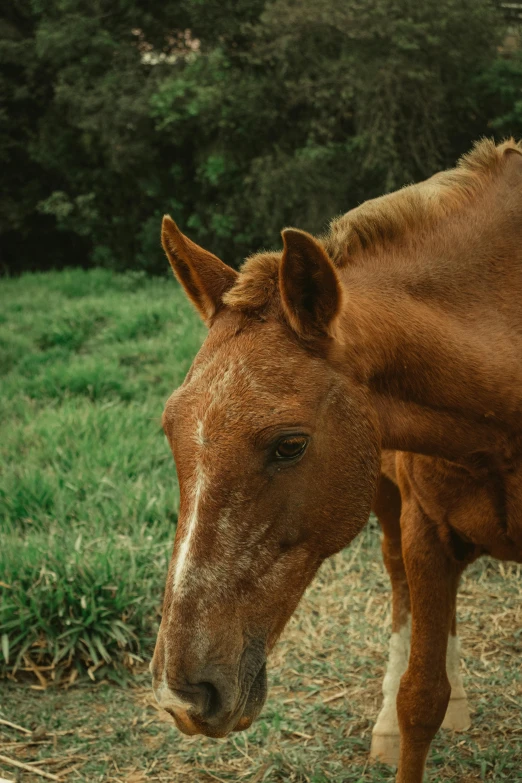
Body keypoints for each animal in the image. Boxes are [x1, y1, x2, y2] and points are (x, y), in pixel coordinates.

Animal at [150, 138, 520, 780]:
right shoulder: (426, 535)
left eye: (290, 444)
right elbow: (421, 697)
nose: (184, 695)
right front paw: (406, 719)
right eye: (172, 430)